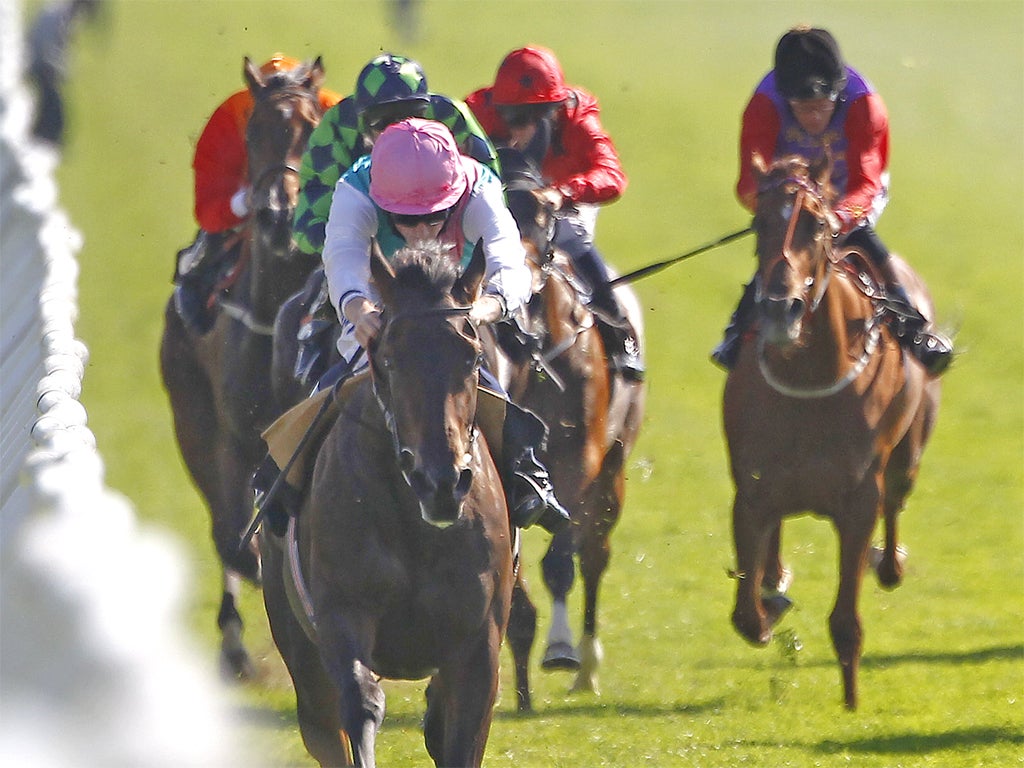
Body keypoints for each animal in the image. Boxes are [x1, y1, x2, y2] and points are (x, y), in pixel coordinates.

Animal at [159, 55, 323, 679]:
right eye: (254, 133)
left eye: (312, 126)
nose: (278, 214)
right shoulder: (230, 437)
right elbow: (233, 537)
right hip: (192, 422)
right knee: (223, 526)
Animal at [258, 241, 509, 768]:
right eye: (390, 358)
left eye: (472, 356)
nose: (441, 482)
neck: (416, 530)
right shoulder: (340, 614)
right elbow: (362, 703)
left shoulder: (478, 645)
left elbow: (461, 733)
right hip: (298, 645)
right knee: (324, 723)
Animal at [497, 145, 647, 704]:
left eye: (543, 213)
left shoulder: (579, 454)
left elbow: (562, 559)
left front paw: (560, 649)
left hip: (616, 464)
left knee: (595, 552)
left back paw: (586, 664)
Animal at [724, 154, 937, 708]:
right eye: (760, 223)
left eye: (816, 224)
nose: (781, 308)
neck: (811, 378)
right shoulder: (753, 489)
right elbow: (747, 614)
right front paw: (768, 606)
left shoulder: (858, 500)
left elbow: (846, 619)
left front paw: (851, 701)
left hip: (909, 452)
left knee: (896, 502)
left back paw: (890, 561)